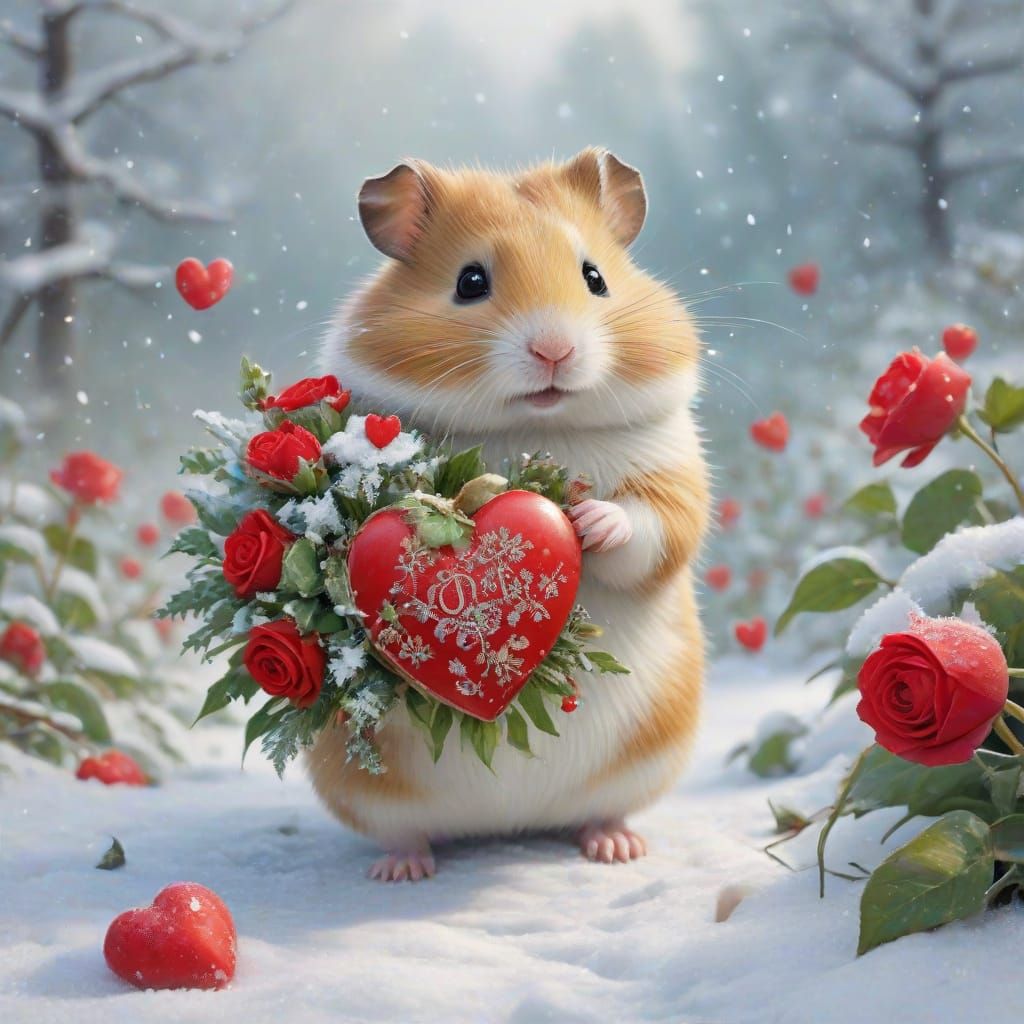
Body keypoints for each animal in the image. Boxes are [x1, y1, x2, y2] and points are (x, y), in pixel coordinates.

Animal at [314, 148, 709, 880]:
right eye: (470, 282)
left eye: (595, 278)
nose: (554, 350)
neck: (535, 425)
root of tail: (506, 823)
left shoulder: (675, 476)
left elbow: (651, 531)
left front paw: (590, 521)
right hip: (360, 786)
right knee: (402, 831)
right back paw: (402, 869)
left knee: (602, 813)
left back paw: (616, 848)